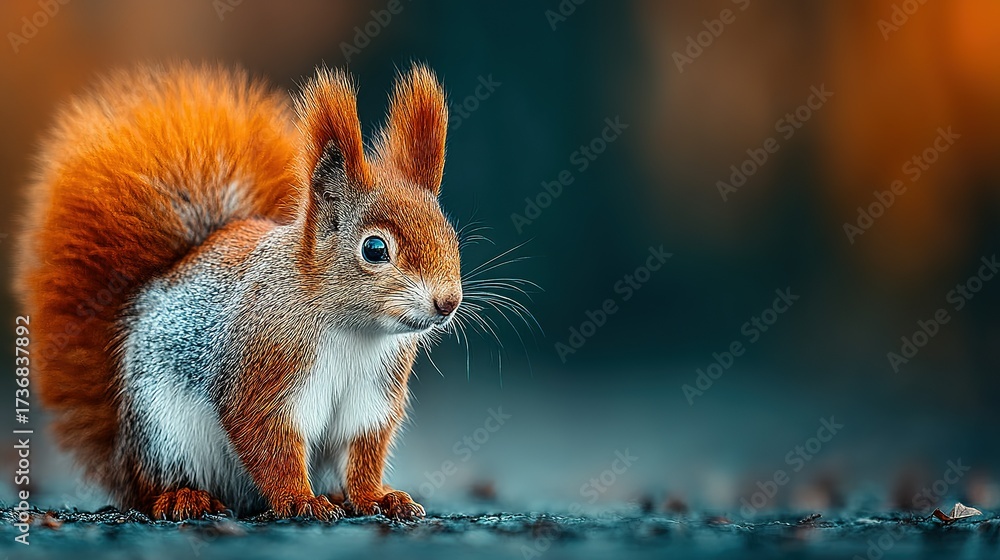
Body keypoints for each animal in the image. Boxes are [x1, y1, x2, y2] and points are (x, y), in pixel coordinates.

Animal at [15, 62, 462, 521]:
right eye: (374, 249)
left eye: (450, 234)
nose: (448, 302)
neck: (355, 330)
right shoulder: (265, 372)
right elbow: (268, 443)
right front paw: (299, 500)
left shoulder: (372, 398)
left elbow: (363, 454)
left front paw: (377, 498)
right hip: (163, 434)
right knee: (155, 488)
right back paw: (184, 497)